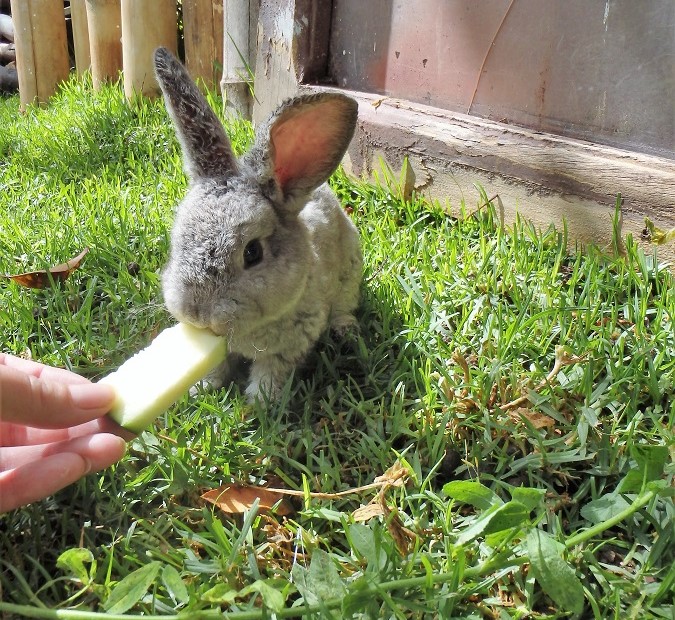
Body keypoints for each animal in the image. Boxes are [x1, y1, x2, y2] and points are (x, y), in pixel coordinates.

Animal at [153, 46, 364, 400]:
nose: (198, 314)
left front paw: (258, 403)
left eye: (252, 253)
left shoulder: (287, 348)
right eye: (176, 244)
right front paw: (201, 388)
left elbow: (270, 374)